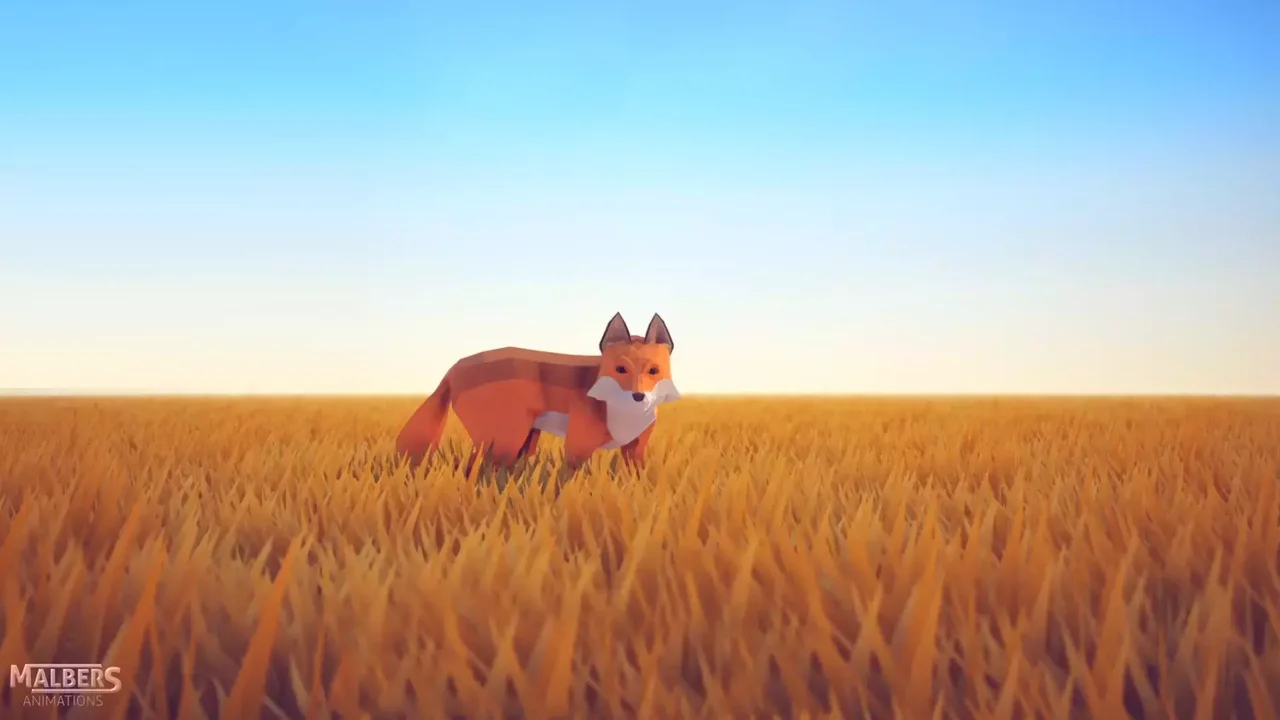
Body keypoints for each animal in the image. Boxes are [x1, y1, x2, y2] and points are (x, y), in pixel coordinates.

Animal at [395, 312, 682, 476]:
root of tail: (453, 368)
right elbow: (569, 481)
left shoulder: (635, 451)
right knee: (478, 471)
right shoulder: (577, 447)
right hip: (505, 440)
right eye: (620, 369)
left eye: (654, 370)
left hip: (523, 439)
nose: (638, 396)